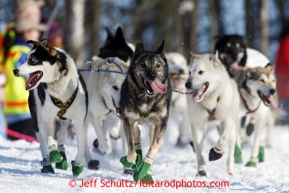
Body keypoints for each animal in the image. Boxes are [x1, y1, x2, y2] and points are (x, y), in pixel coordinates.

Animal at [12, 39, 97, 176]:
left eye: (32, 60)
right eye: (25, 58)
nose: (15, 71)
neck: (60, 85)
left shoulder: (79, 122)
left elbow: (80, 146)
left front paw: (78, 164)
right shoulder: (46, 120)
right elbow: (49, 140)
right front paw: (54, 154)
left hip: (66, 120)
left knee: (60, 133)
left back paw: (62, 159)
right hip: (37, 121)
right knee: (43, 142)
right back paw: (48, 164)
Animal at [119, 40, 171, 182]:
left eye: (158, 65)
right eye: (143, 65)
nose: (153, 76)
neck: (147, 98)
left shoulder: (160, 124)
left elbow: (153, 147)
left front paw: (145, 168)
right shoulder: (128, 120)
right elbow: (131, 147)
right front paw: (130, 161)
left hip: (153, 127)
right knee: (136, 138)